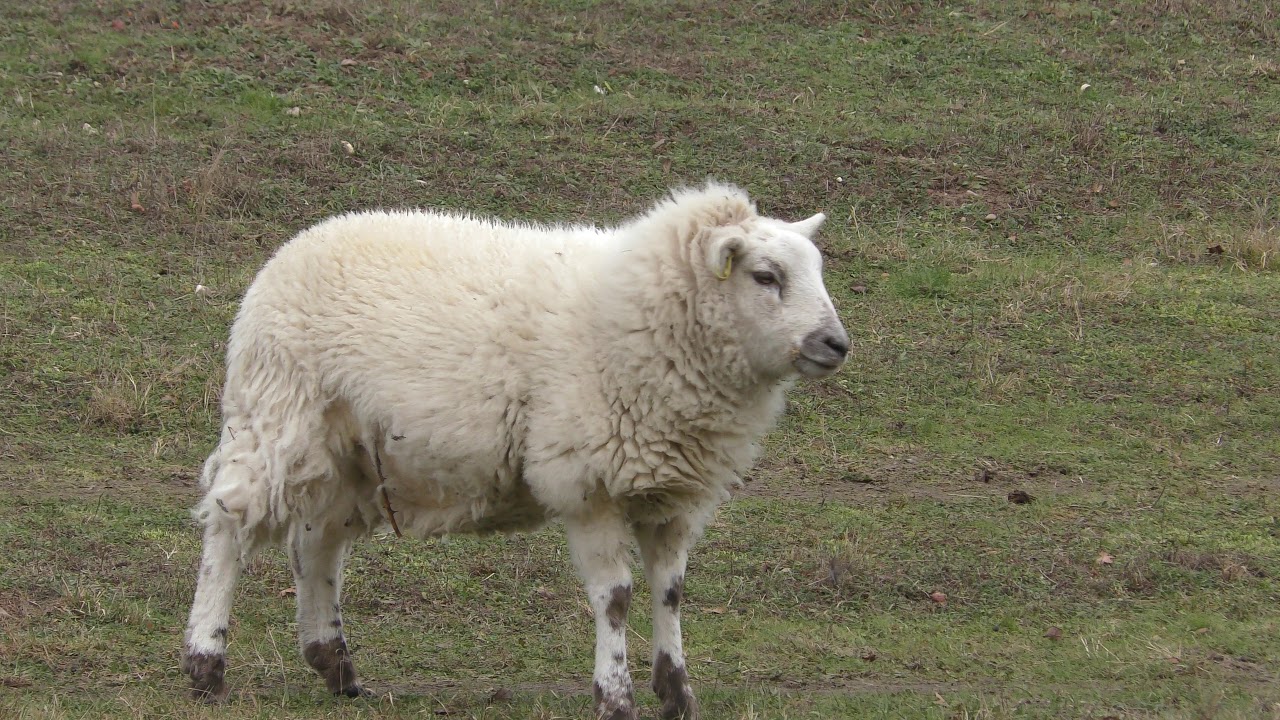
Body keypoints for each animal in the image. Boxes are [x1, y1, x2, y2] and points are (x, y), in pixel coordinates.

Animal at [181, 182, 849, 719]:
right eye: (765, 276)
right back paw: (206, 664)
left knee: (315, 544)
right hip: (276, 416)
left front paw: (677, 695)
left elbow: (670, 592)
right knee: (229, 525)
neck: (642, 315)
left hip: (348, 453)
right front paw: (615, 696)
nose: (836, 343)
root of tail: (291, 250)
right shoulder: (588, 482)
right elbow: (615, 598)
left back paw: (334, 665)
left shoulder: (670, 491)